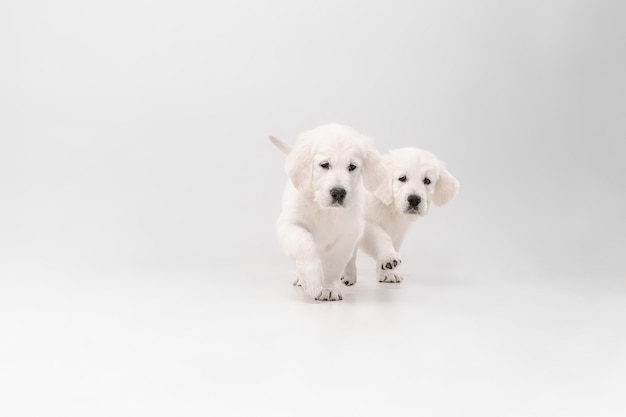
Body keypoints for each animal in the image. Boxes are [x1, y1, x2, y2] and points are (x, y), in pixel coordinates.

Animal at [270, 122, 390, 300]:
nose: (338, 193)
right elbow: (304, 245)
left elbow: (333, 264)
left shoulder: (347, 234)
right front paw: (312, 281)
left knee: (352, 256)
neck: (325, 210)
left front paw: (328, 288)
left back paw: (350, 275)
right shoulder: (291, 224)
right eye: (325, 165)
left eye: (352, 167)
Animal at [342, 147, 458, 286]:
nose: (414, 200)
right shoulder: (366, 224)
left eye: (427, 181)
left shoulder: (397, 232)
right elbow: (382, 237)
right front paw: (389, 257)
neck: (390, 207)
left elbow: (392, 243)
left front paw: (387, 273)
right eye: (402, 178)